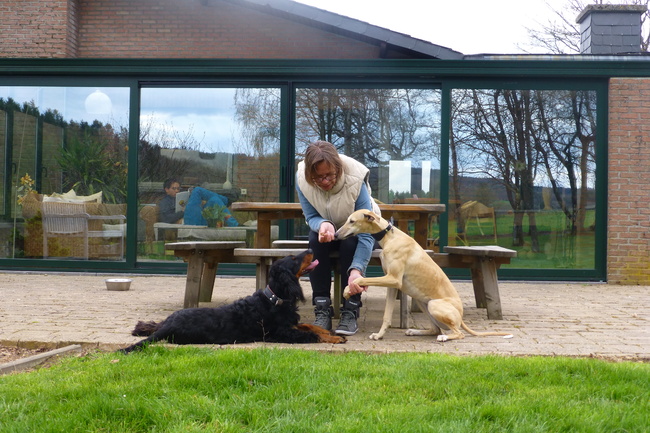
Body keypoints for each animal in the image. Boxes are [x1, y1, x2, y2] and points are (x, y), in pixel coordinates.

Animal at [120, 249, 345, 353]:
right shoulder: (280, 333)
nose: (310, 250)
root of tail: (170, 324)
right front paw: (334, 339)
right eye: (293, 258)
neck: (274, 299)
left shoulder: (290, 324)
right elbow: (309, 334)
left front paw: (330, 332)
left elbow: (310, 326)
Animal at [335, 210, 512, 342]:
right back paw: (415, 331)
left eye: (352, 221)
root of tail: (461, 317)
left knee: (457, 333)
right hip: (422, 303)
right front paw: (379, 335)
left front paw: (347, 290)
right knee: (435, 329)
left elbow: (360, 278)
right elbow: (386, 316)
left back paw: (445, 337)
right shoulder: (391, 284)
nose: (335, 235)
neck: (390, 237)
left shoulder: (393, 279)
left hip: (434, 305)